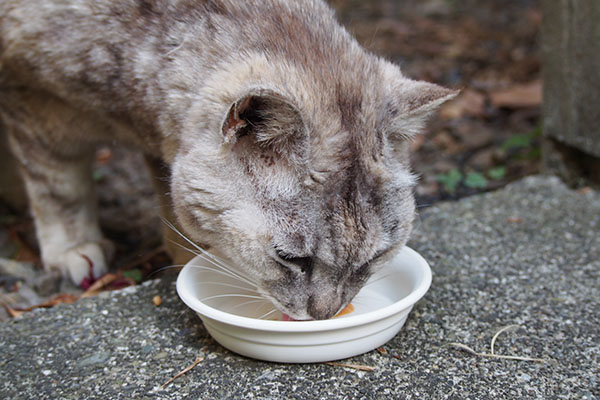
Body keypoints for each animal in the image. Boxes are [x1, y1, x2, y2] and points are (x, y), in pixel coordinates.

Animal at [0, 0, 458, 318]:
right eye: (291, 259)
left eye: (374, 259)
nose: (324, 315)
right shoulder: (37, 103)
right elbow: (59, 186)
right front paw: (72, 247)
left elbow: (171, 200)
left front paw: (186, 256)